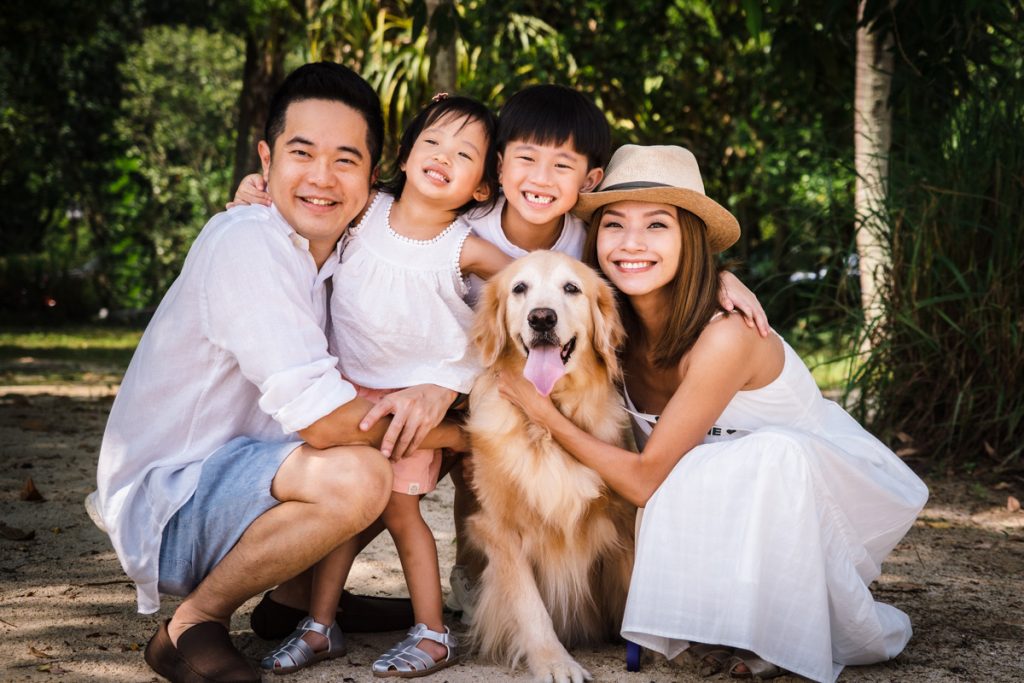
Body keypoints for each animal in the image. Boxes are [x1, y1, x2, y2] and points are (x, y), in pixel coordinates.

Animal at [468, 250, 634, 683]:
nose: (541, 318)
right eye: (519, 288)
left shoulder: (623, 519)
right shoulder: (499, 527)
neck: (547, 421)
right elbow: (531, 607)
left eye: (571, 288)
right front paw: (555, 662)